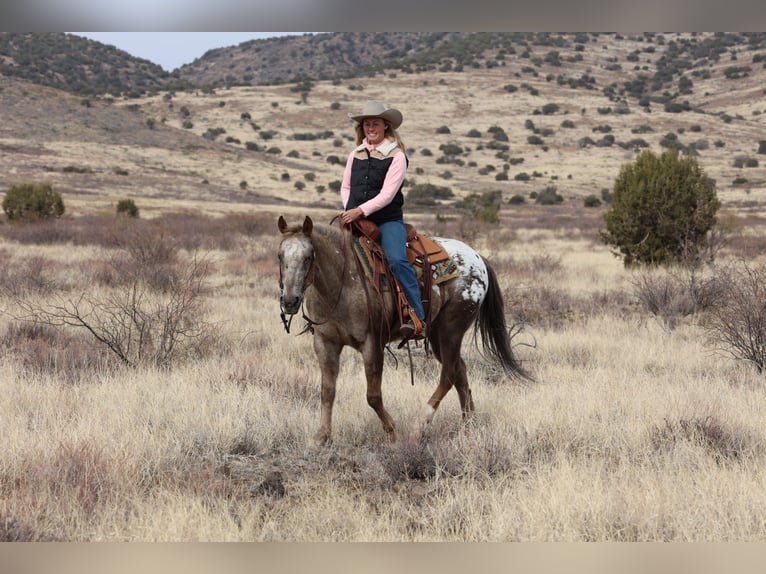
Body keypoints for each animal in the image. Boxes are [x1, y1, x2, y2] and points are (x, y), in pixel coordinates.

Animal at [280, 216, 532, 446]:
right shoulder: (325, 343)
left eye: (308, 257)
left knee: (449, 374)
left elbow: (373, 396)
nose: (290, 301)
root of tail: (478, 258)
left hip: (451, 329)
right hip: (437, 334)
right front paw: (321, 437)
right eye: (280, 256)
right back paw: (469, 424)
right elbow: (327, 391)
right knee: (459, 369)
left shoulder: (372, 344)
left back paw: (419, 426)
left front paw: (392, 431)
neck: (342, 282)